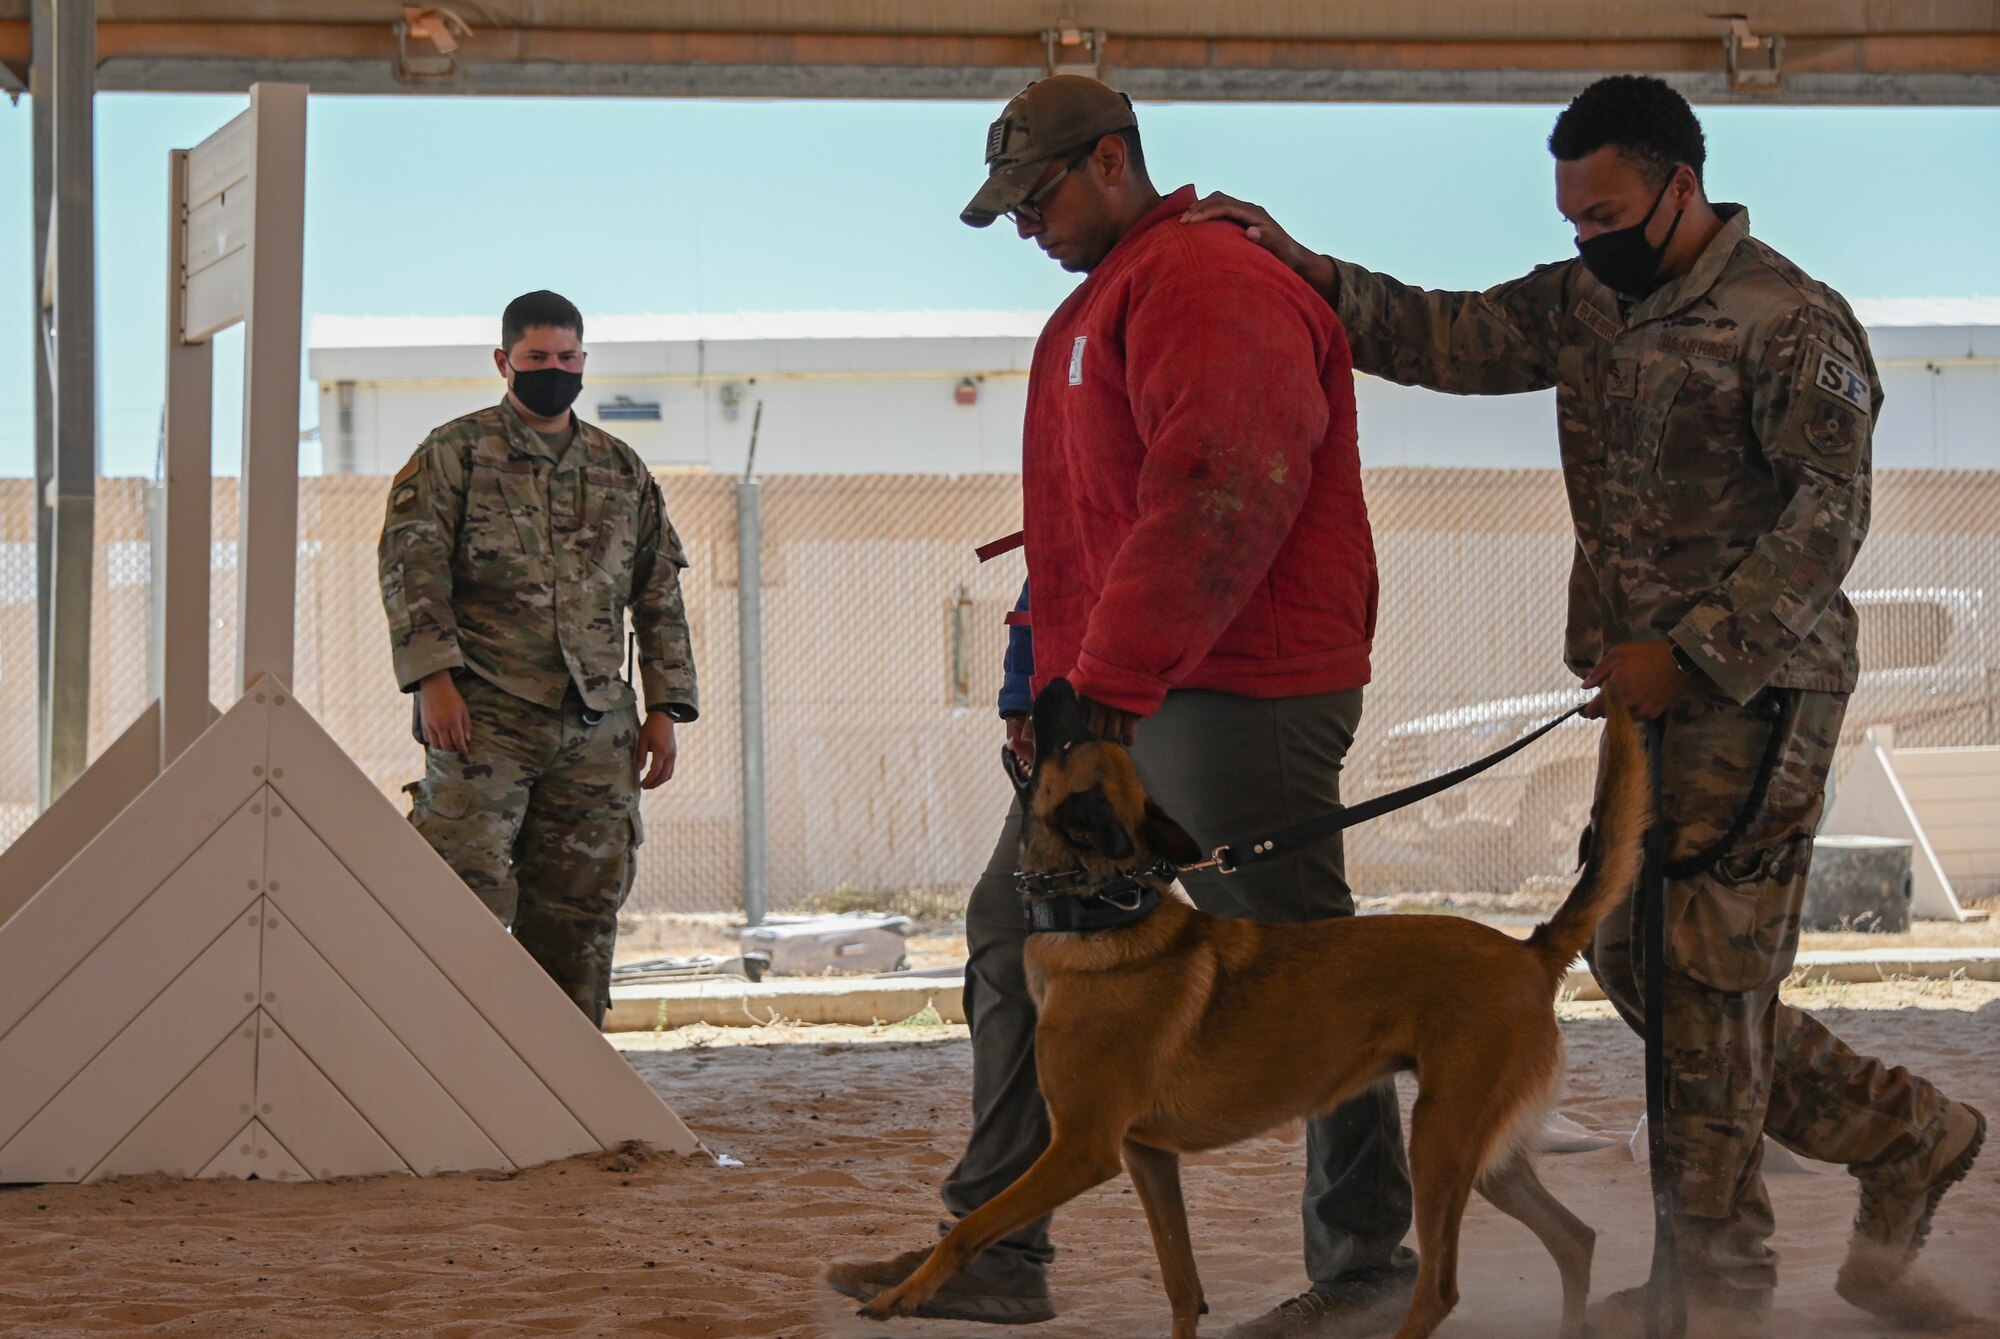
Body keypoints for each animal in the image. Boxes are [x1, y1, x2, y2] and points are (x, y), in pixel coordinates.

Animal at [852, 683, 1648, 1339]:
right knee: (1575, 1239)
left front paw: (903, 1295)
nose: (1050, 683)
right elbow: (1181, 1287)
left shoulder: (1081, 1148)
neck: (1101, 916)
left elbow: (974, 1225)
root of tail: (1531, 949)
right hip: (1483, 1156)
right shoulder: (1146, 1157)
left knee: (1441, 1291)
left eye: (1068, 740)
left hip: (1441, 1146)